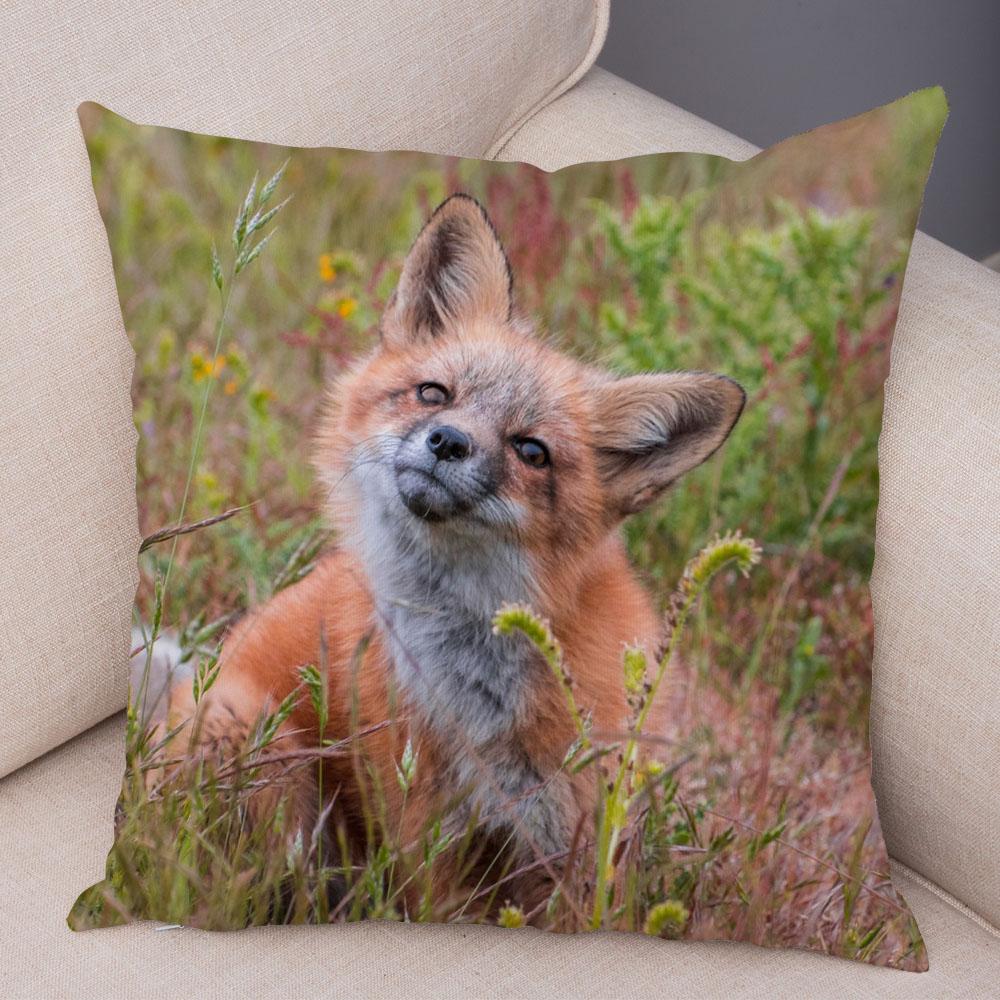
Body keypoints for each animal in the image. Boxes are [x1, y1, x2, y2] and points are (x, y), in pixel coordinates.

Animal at [154, 192, 745, 913]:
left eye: (531, 451)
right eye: (434, 393)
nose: (447, 441)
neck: (481, 695)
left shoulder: (574, 829)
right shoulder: (426, 828)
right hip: (257, 743)